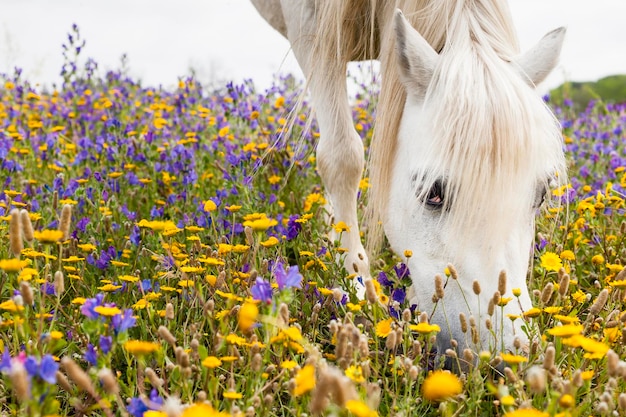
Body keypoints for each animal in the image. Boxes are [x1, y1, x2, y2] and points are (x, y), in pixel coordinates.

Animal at [250, 0, 564, 358]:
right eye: (434, 193)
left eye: (541, 195)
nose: (506, 355)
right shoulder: (313, 29)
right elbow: (342, 156)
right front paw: (356, 289)